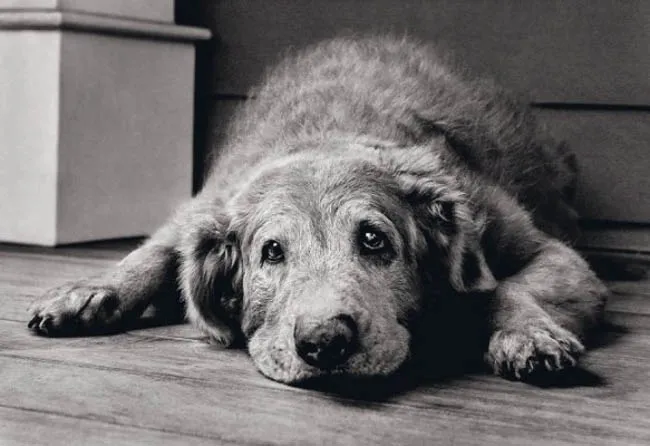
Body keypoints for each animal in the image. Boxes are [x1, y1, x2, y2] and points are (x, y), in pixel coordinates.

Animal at [27, 34, 604, 386]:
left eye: (374, 240)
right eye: (271, 252)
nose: (324, 342)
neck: (330, 133)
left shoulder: (548, 251)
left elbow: (505, 287)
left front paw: (528, 335)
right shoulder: (204, 207)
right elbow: (153, 252)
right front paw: (89, 292)